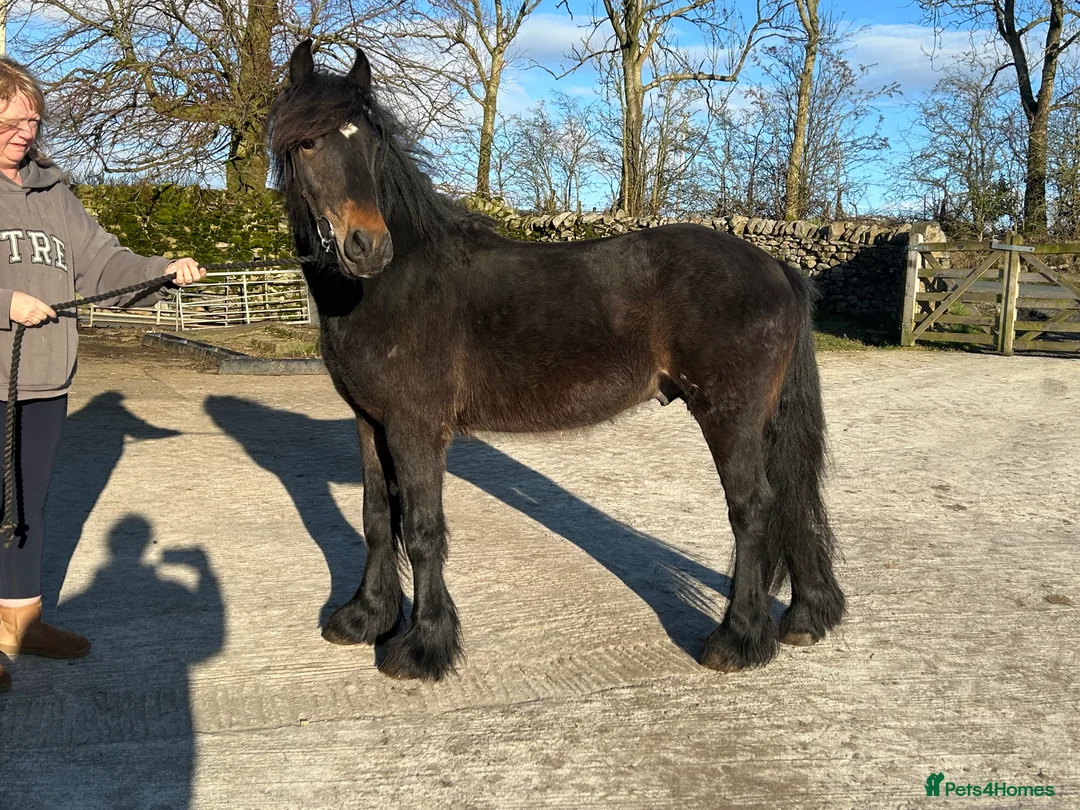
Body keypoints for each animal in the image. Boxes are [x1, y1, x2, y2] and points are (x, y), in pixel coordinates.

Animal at [267, 39, 846, 681]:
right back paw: (804, 617)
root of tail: (777, 267)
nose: (368, 246)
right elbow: (376, 517)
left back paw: (738, 639)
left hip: (730, 417)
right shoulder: (371, 422)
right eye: (310, 142)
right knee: (789, 498)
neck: (393, 283)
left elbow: (421, 529)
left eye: (370, 142)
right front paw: (365, 618)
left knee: (753, 509)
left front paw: (422, 647)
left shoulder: (416, 428)